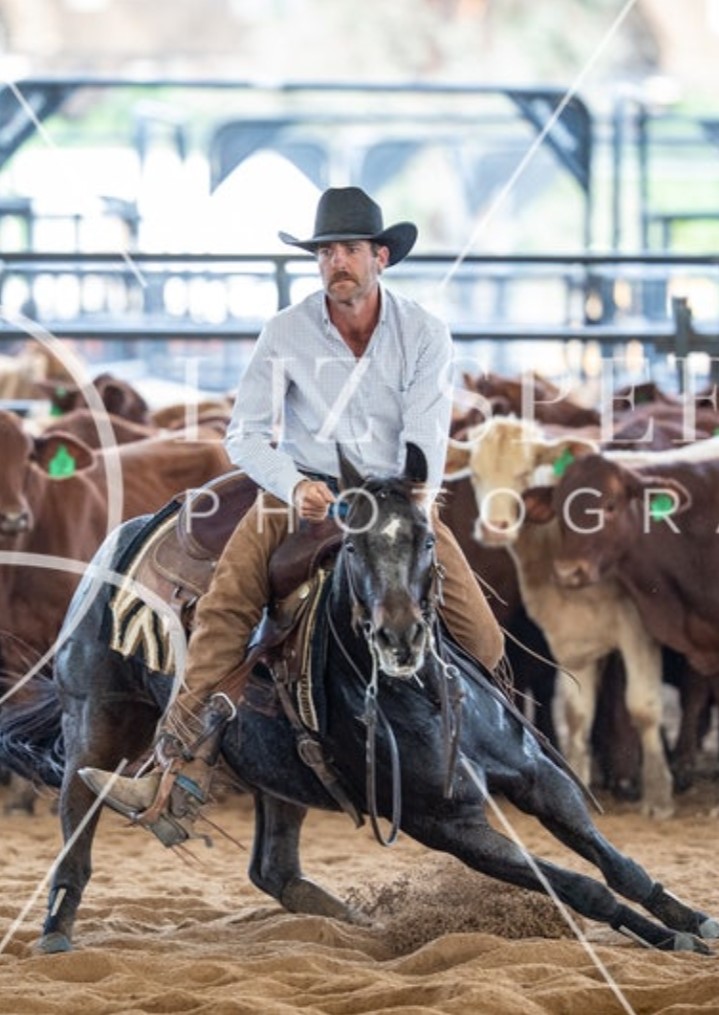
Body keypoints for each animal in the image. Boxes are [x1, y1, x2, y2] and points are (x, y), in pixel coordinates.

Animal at [444, 415, 674, 815]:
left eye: (525, 472)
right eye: (475, 474)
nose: (494, 528)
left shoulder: (637, 629)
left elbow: (642, 705)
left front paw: (659, 795)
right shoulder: (567, 636)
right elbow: (575, 712)